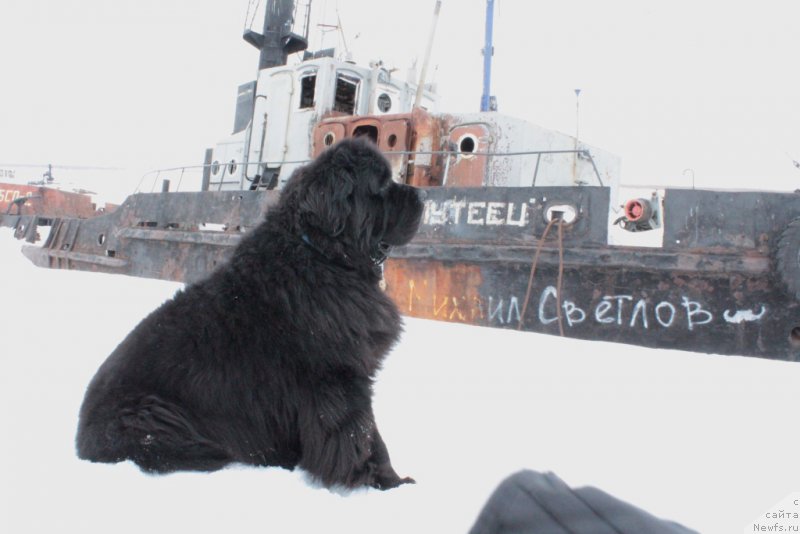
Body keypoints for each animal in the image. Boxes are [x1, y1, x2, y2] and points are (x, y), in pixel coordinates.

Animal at [77, 139, 424, 494]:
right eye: (381, 185)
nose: (423, 195)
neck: (321, 254)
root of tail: (81, 440)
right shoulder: (340, 376)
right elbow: (362, 435)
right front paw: (382, 481)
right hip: (150, 414)